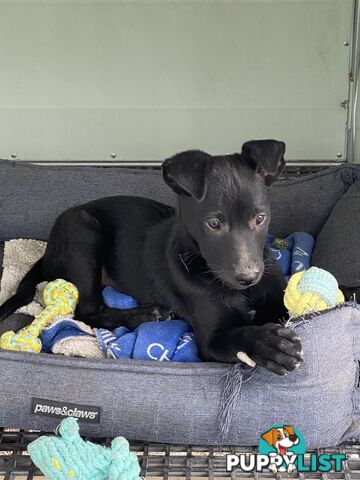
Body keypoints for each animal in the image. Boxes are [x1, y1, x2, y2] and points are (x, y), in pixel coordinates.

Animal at [0, 139, 304, 376]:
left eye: (260, 218)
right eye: (214, 224)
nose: (248, 277)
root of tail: (47, 253)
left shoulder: (276, 300)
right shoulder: (211, 340)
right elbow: (239, 336)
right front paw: (269, 345)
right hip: (81, 229)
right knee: (86, 311)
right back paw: (144, 314)